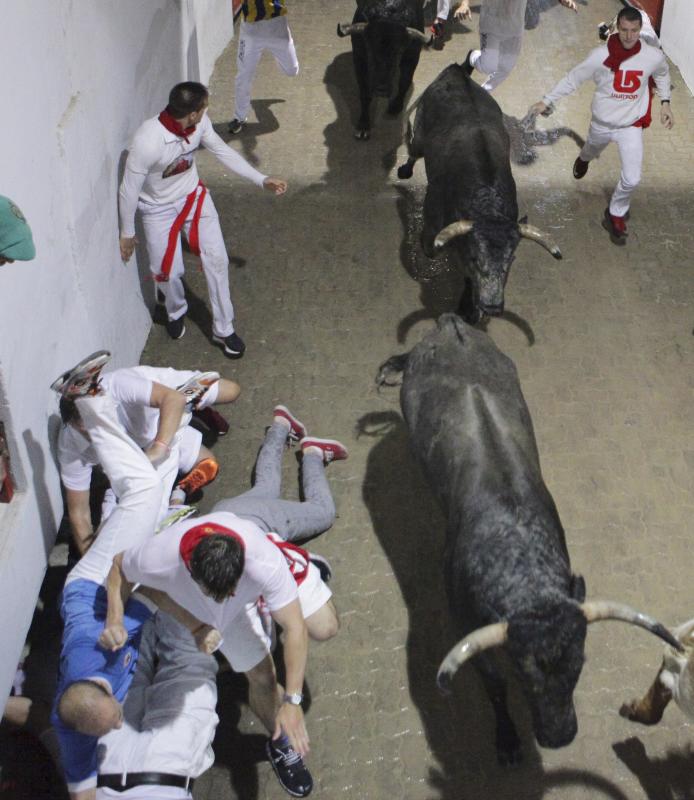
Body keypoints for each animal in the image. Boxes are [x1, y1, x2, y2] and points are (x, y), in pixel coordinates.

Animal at [336, 0, 430, 139]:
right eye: (369, 47)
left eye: (400, 50)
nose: (382, 89)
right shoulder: (359, 58)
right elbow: (365, 93)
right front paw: (363, 125)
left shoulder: (412, 56)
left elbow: (404, 82)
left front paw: (396, 106)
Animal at [378, 310, 684, 764]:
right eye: (524, 674)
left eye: (579, 665)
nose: (560, 736)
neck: (520, 560)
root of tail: (451, 325)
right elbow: (495, 688)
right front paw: (507, 740)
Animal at [400, 64, 568, 324]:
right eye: (475, 258)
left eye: (510, 261)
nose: (491, 306)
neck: (486, 200)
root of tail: (456, 71)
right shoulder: (432, 231)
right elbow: (431, 249)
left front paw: (469, 307)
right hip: (419, 136)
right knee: (413, 152)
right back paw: (405, 170)